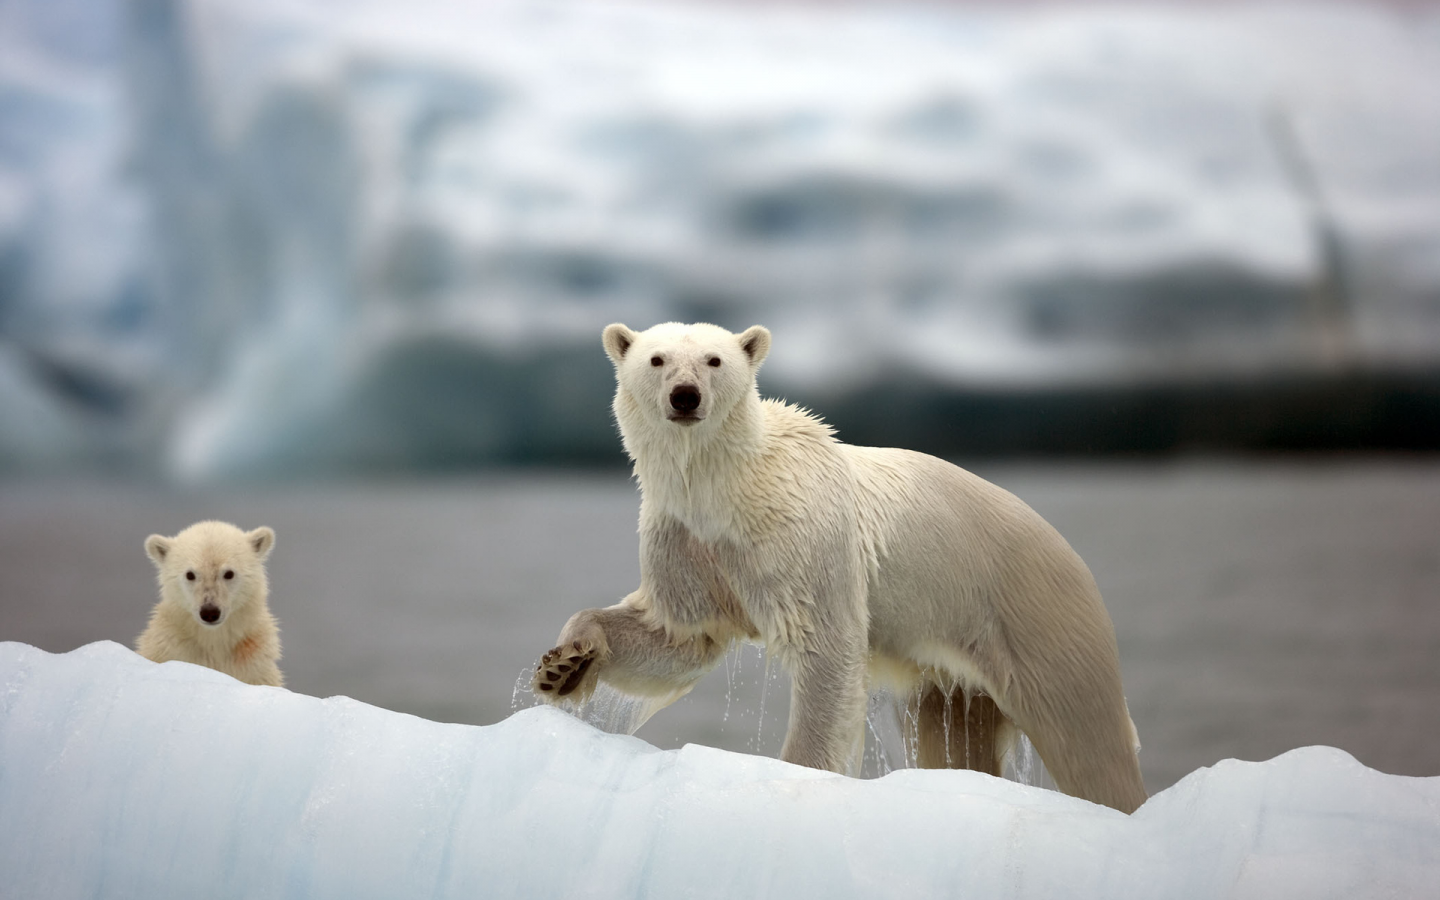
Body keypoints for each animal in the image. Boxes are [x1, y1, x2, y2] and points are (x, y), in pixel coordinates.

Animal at [138, 515, 285, 685]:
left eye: (229, 573)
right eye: (190, 574)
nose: (209, 612)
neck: (213, 640)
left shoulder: (254, 664)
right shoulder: (171, 650)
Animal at [535, 322, 1152, 812]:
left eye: (714, 360)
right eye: (657, 359)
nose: (685, 396)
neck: (726, 489)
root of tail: (1068, 551)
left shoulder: (800, 536)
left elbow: (824, 648)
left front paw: (796, 774)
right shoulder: (685, 540)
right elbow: (680, 636)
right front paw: (564, 665)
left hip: (1036, 616)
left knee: (1087, 738)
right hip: (952, 669)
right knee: (956, 735)